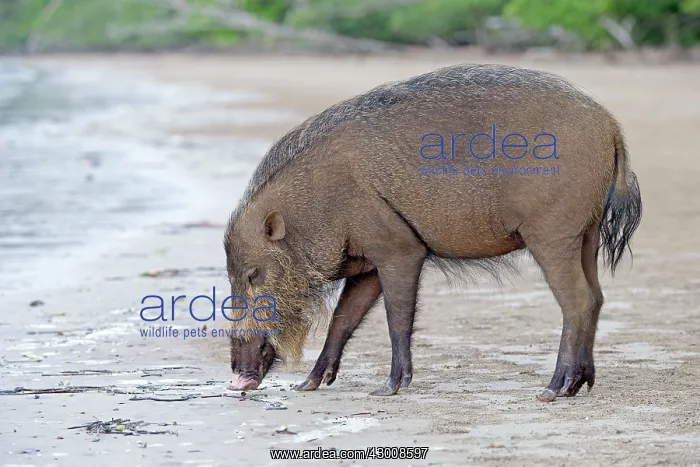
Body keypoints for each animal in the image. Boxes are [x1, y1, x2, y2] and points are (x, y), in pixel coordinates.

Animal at [224, 63, 642, 400]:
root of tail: (611, 126)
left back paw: (552, 390)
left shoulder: (400, 249)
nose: (236, 381)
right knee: (598, 297)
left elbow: (396, 318)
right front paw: (308, 385)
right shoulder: (368, 265)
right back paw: (580, 385)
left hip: (553, 234)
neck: (319, 204)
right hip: (586, 234)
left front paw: (388, 389)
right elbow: (343, 321)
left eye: (253, 274)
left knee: (578, 301)